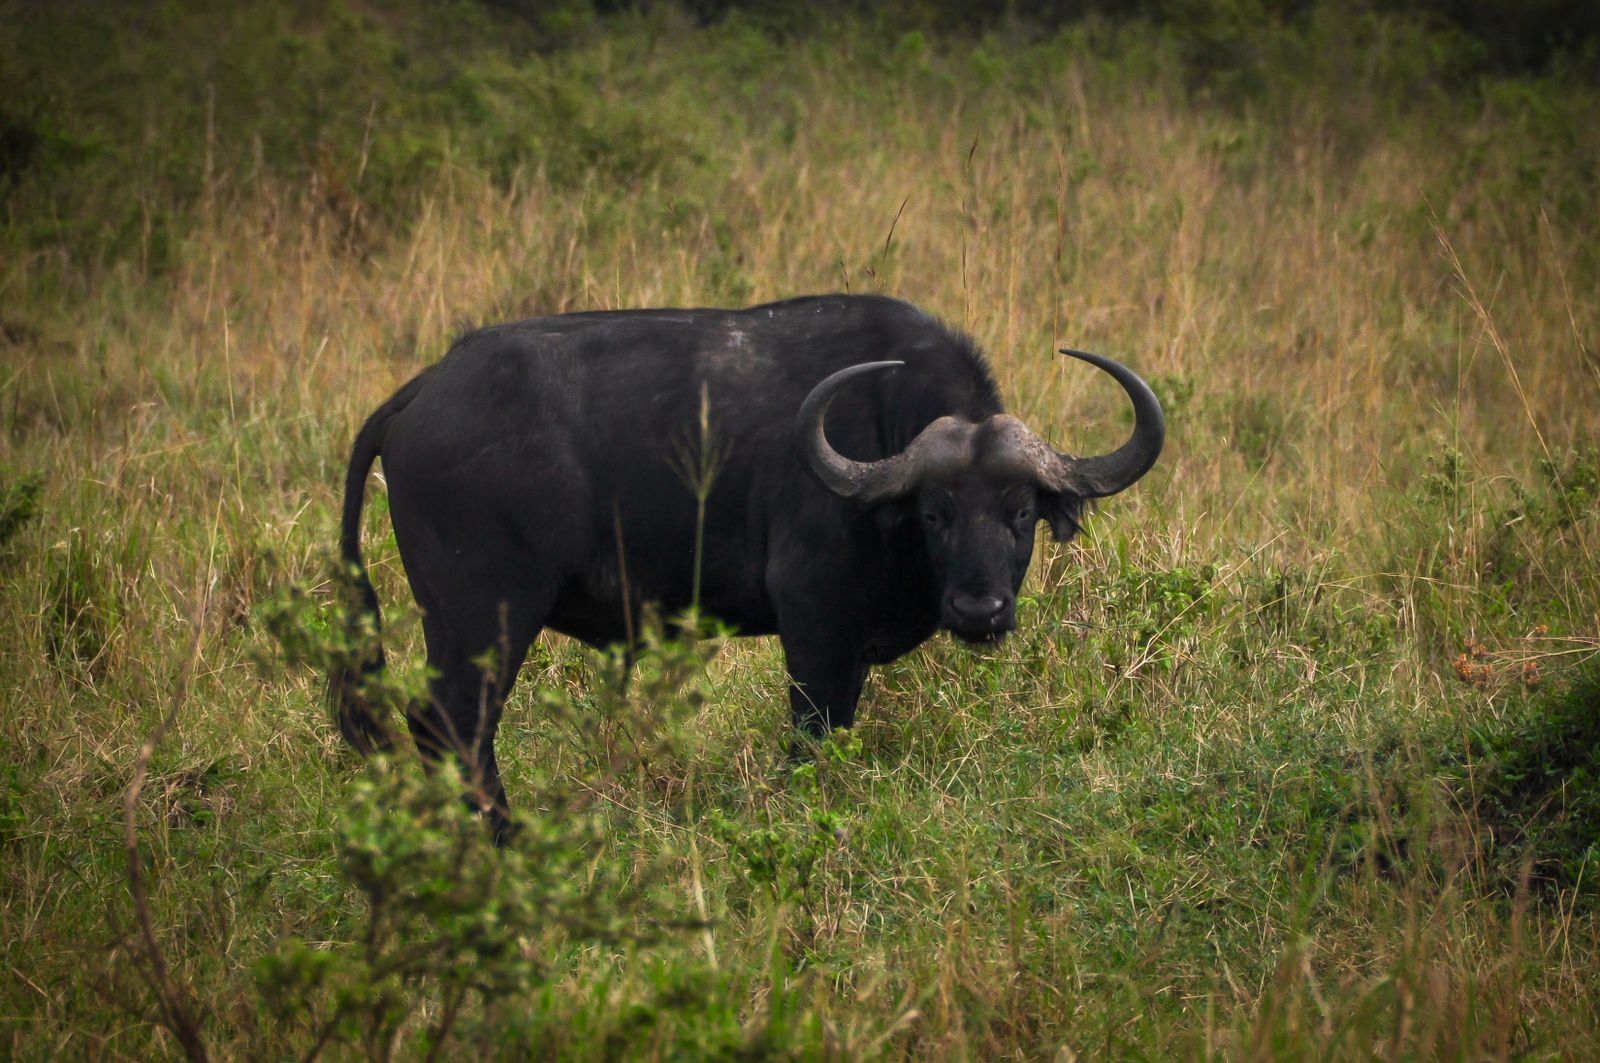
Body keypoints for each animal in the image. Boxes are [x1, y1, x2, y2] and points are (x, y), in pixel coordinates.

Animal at [331, 294, 1163, 841]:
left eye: (1020, 512)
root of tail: (428, 388)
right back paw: (503, 837)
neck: (876, 429)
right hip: (486, 617)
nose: (978, 610)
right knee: (453, 722)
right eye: (935, 513)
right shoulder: (814, 626)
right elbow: (812, 735)